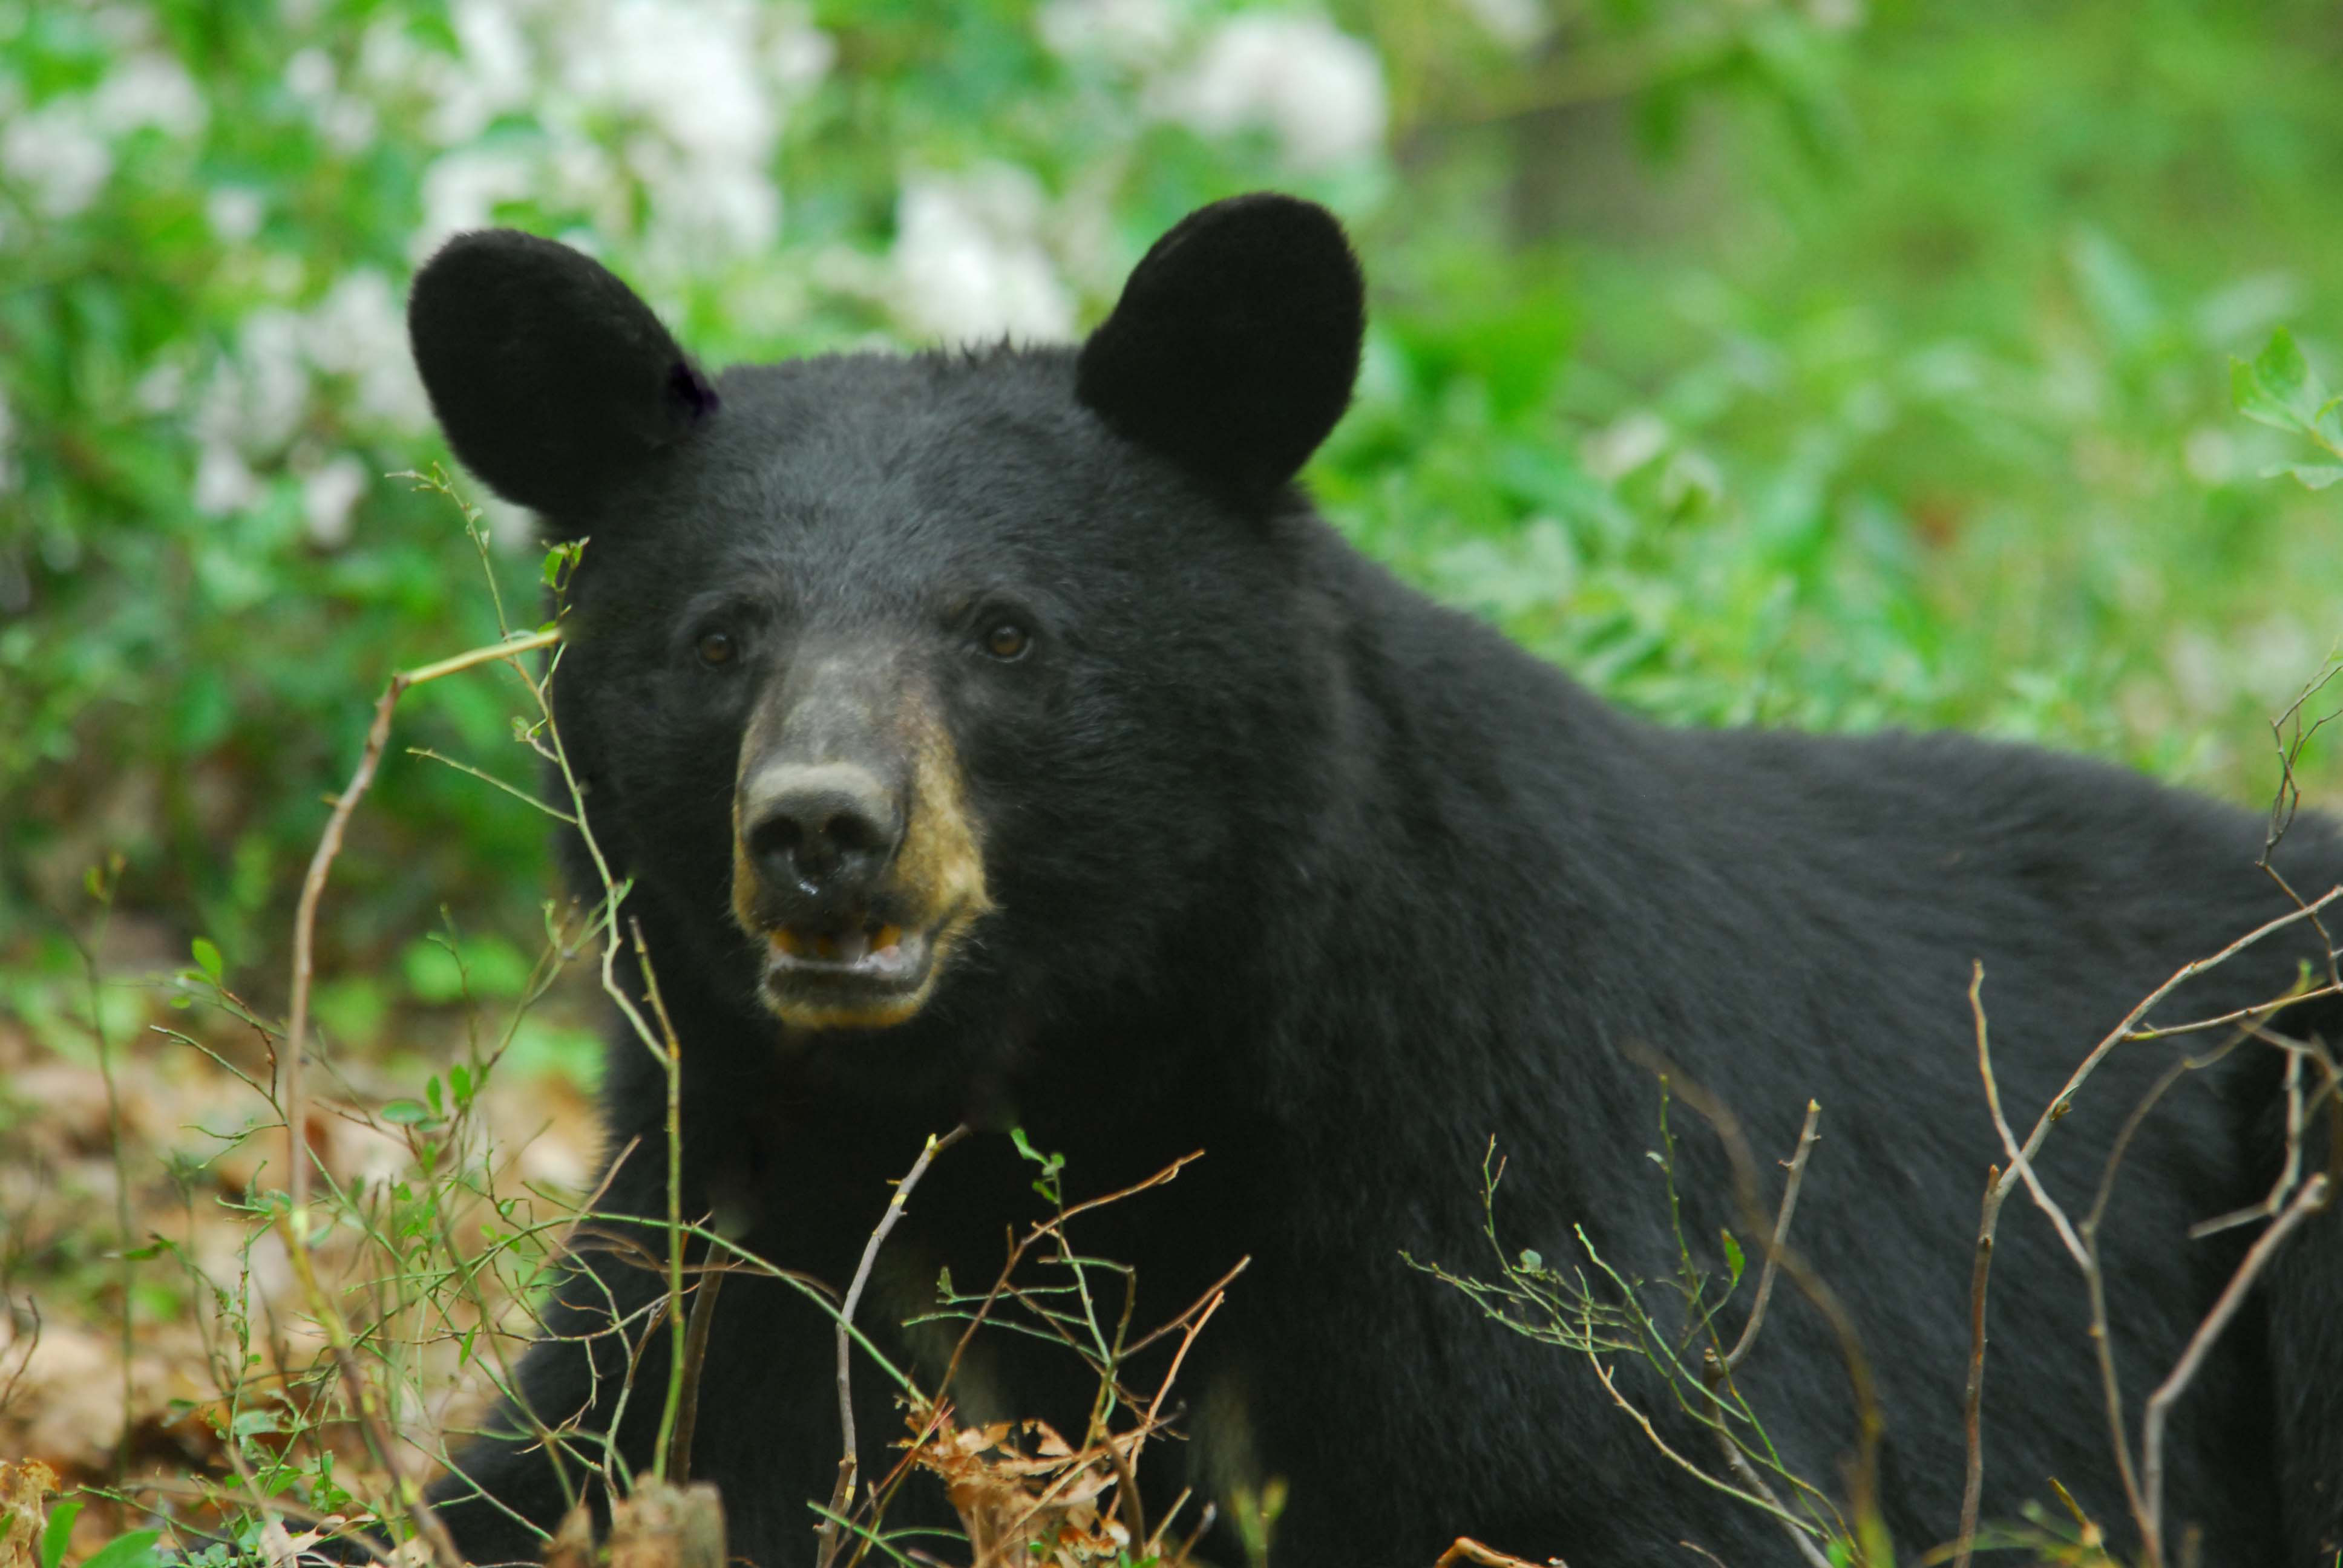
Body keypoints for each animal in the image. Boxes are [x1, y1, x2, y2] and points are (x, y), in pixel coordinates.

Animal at [407, 199, 2343, 1566]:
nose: (821, 827)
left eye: (1005, 632)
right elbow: (600, 1444)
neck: (1080, 1065)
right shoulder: (744, 1186)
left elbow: (1609, 1479)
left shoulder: (1494, 1133)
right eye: (720, 637)